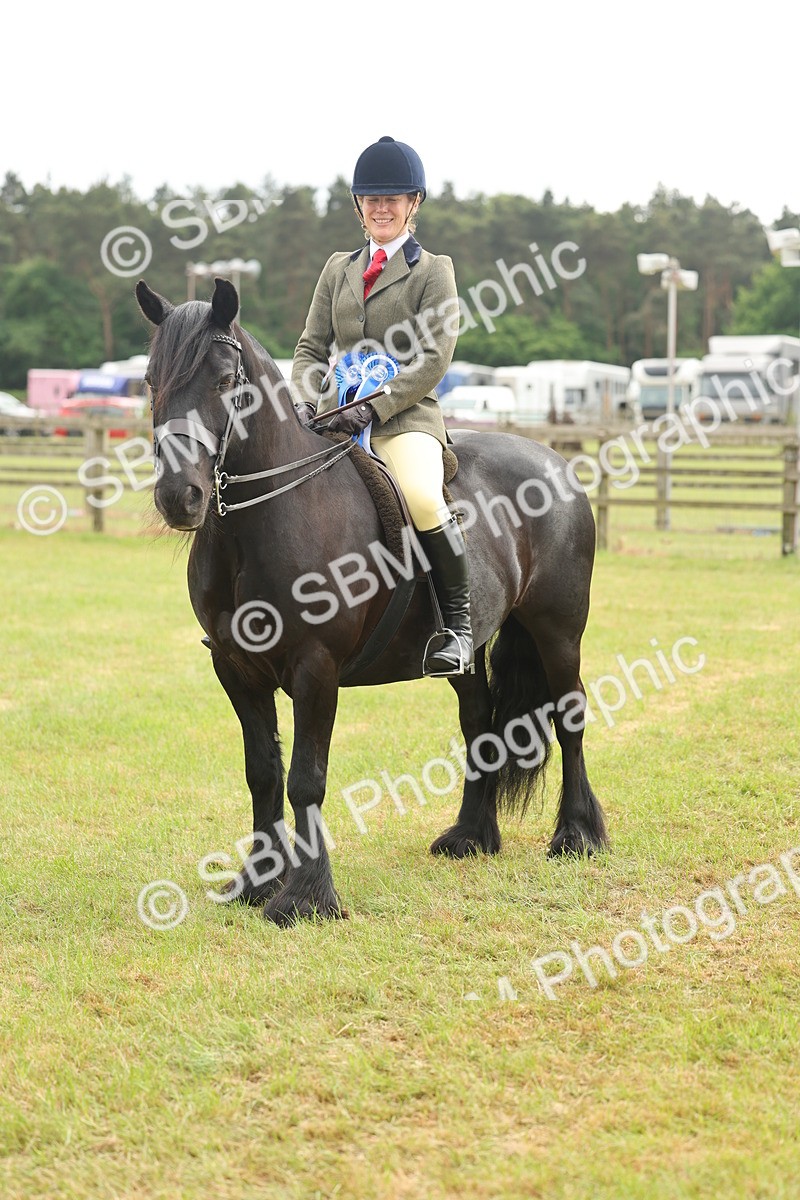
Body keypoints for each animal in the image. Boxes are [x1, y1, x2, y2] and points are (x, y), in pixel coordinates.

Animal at [136, 276, 609, 926]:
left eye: (227, 381)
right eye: (151, 380)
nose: (179, 496)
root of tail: (555, 461)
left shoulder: (315, 668)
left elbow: (305, 779)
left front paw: (306, 898)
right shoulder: (235, 669)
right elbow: (263, 773)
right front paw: (258, 881)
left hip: (557, 632)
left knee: (569, 716)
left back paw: (577, 835)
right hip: (466, 651)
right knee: (479, 721)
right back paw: (470, 835)